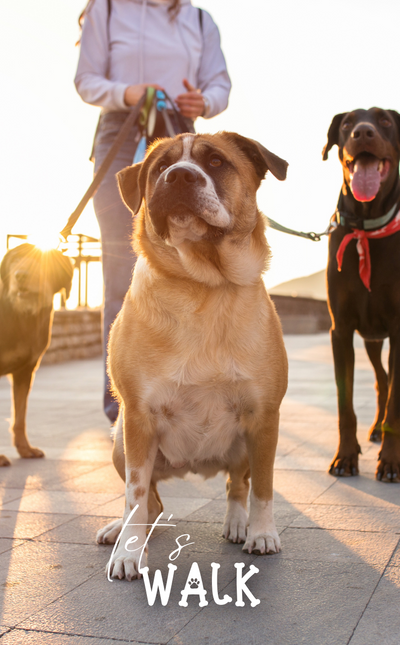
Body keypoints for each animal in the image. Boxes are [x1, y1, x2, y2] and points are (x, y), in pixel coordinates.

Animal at [0, 244, 73, 466]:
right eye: (15, 259)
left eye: (42, 261)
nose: (21, 275)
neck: (21, 315)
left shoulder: (25, 371)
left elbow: (20, 416)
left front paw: (25, 448)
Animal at [97, 131, 290, 580]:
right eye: (159, 168)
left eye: (216, 162)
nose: (179, 176)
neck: (203, 285)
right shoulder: (137, 418)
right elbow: (134, 493)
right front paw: (129, 551)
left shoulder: (264, 417)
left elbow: (264, 487)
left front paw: (262, 532)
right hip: (119, 442)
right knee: (150, 503)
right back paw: (122, 529)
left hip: (243, 443)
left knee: (237, 484)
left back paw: (237, 523)